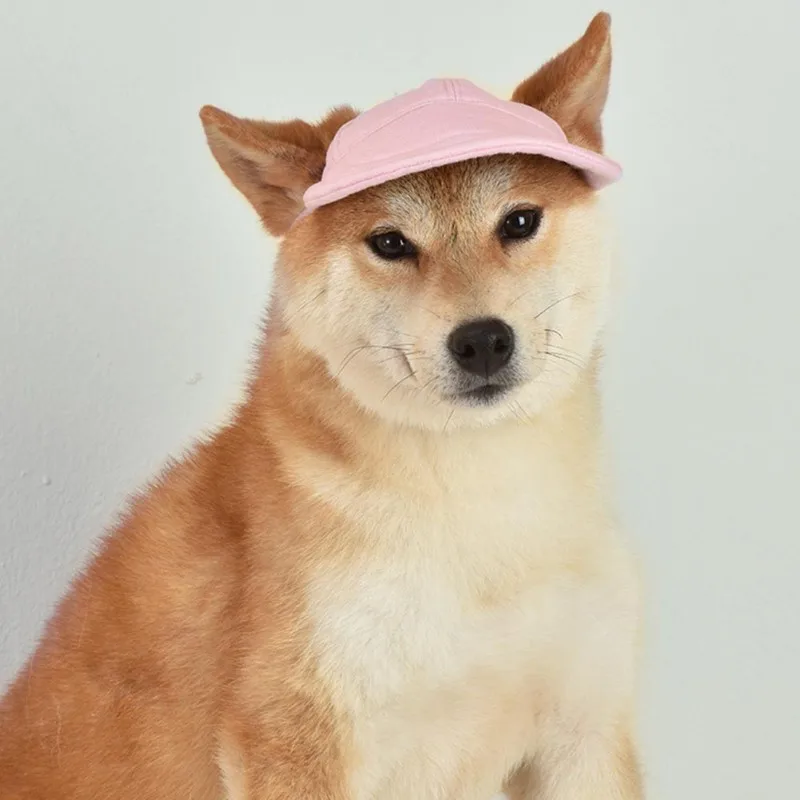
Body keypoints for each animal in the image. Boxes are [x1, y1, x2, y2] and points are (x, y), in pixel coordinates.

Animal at [0, 12, 644, 800]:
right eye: (390, 242)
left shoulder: (585, 727)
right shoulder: (294, 731)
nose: (483, 340)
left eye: (519, 221)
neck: (483, 513)